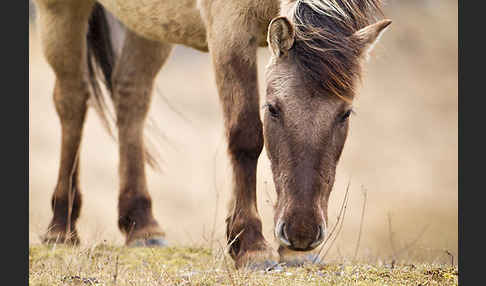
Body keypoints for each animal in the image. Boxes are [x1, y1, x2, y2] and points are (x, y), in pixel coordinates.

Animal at [33, 0, 392, 270]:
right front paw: (251, 247)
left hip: (149, 24)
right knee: (72, 99)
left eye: (345, 113)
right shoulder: (230, 31)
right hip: (60, 11)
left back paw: (143, 226)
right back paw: (61, 227)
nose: (301, 234)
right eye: (273, 108)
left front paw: (287, 254)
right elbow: (245, 134)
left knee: (131, 95)